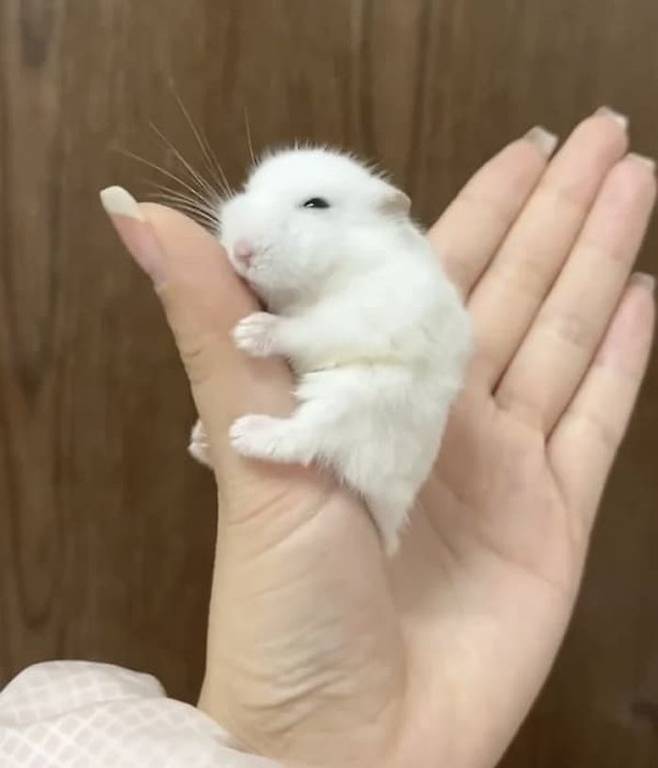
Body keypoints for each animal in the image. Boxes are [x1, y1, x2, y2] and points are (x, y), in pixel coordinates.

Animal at [189, 147, 472, 555]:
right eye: (247, 189)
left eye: (316, 204)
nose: (241, 252)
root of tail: (389, 525)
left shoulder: (358, 319)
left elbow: (306, 330)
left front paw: (248, 332)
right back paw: (201, 440)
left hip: (354, 398)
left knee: (305, 440)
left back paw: (243, 433)